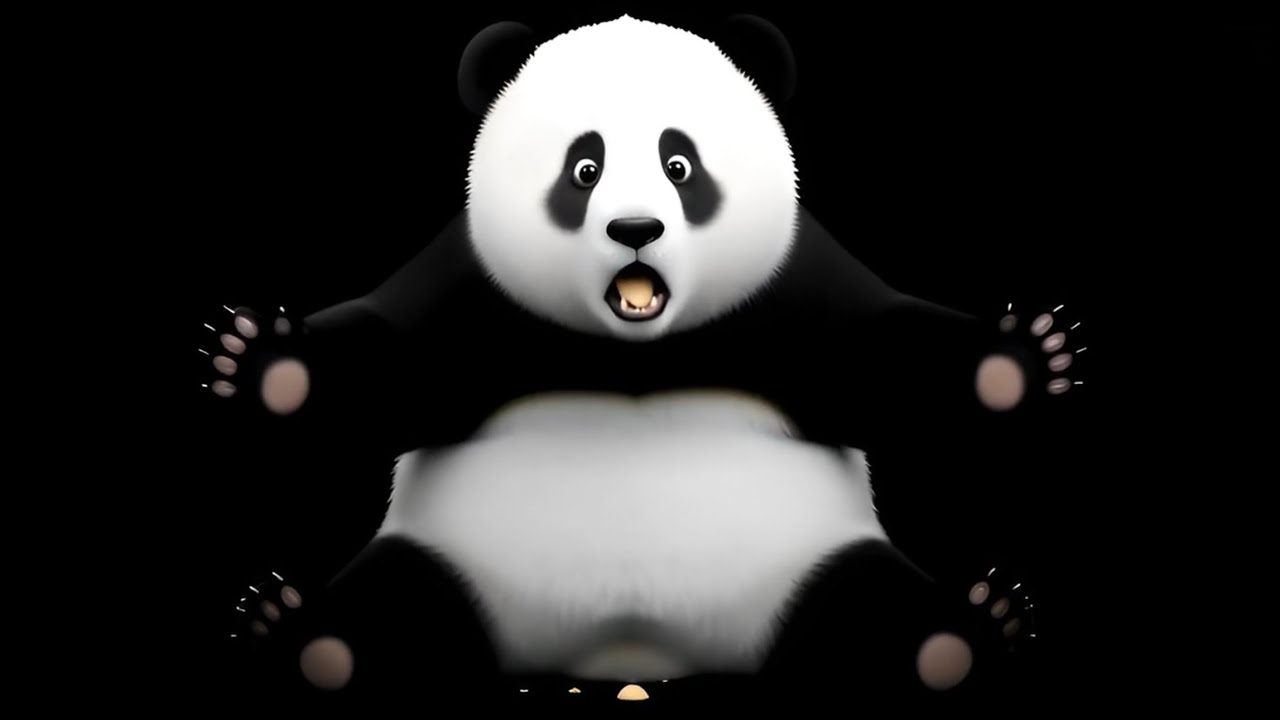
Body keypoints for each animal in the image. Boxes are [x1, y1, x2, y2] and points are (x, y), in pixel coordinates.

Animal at [212, 14, 1079, 705]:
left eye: (680, 164)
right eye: (583, 167)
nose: (635, 230)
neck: (636, 350)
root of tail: (635, 659)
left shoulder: (788, 287)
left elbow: (884, 353)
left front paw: (1016, 362)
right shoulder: (473, 289)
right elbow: (389, 361)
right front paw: (268, 364)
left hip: (806, 566)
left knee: (864, 605)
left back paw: (957, 636)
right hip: (453, 564)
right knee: (402, 604)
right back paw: (311, 639)